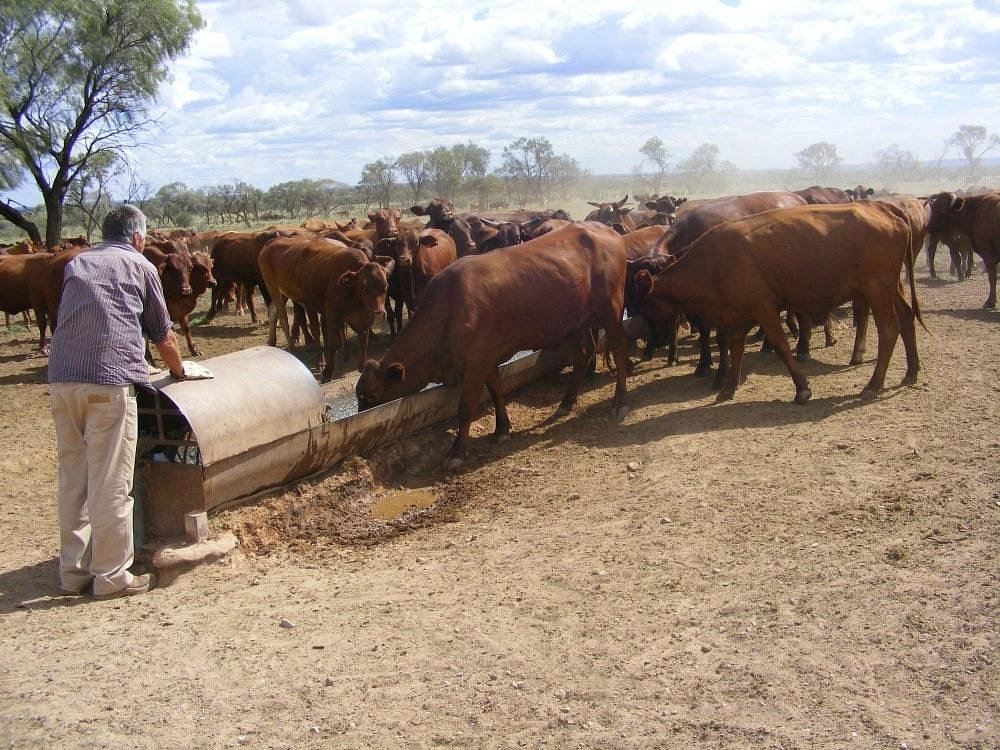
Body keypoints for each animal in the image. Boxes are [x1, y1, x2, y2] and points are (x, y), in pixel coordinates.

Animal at [258, 236, 394, 382]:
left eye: (385, 286)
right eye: (364, 287)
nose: (379, 313)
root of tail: (273, 241)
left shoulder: (364, 317)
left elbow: (364, 340)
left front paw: (362, 365)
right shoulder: (332, 312)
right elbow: (333, 342)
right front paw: (328, 372)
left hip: (285, 293)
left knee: (273, 311)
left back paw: (272, 341)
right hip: (274, 288)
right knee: (286, 319)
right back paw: (302, 354)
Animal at [356, 223, 628, 470]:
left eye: (371, 396)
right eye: (359, 396)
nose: (361, 416)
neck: (450, 307)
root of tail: (607, 230)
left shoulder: (476, 362)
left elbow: (466, 407)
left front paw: (456, 452)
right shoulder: (487, 357)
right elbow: (497, 391)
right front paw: (502, 429)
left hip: (610, 310)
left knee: (619, 350)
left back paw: (619, 403)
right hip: (578, 321)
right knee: (583, 355)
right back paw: (566, 403)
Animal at [632, 203, 920, 406]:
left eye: (646, 306)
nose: (654, 343)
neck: (715, 262)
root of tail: (884, 209)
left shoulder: (764, 309)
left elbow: (780, 346)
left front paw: (802, 388)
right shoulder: (740, 315)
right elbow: (736, 348)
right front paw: (728, 387)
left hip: (877, 290)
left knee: (889, 329)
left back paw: (874, 384)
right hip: (890, 288)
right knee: (907, 318)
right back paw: (912, 371)